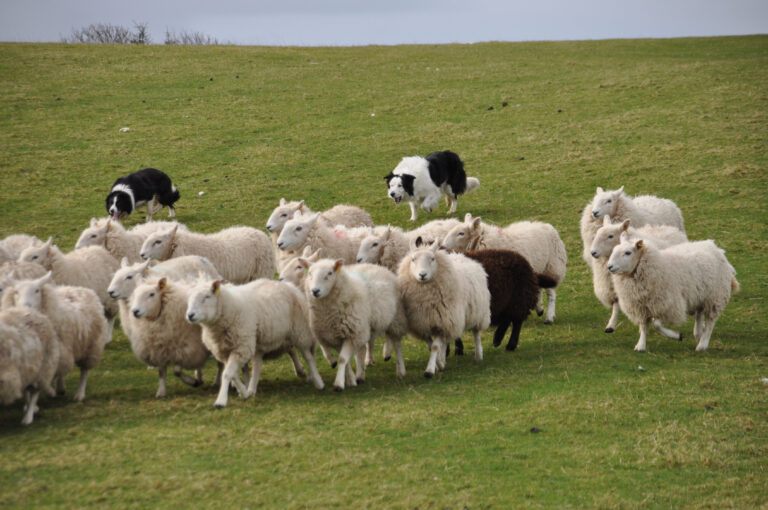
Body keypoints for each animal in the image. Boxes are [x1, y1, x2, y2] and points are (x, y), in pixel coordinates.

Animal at [2, 272, 108, 401]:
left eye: (37, 290)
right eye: (16, 292)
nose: (26, 306)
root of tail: (78, 288)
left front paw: (50, 391)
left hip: (92, 346)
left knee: (84, 371)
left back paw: (79, 394)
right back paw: (60, 388)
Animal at [185, 278, 325, 408]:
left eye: (207, 297)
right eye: (189, 298)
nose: (190, 315)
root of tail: (286, 284)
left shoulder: (241, 347)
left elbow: (227, 374)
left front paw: (221, 401)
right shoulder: (224, 350)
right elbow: (233, 374)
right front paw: (243, 392)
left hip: (300, 330)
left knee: (308, 357)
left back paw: (318, 382)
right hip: (259, 341)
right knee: (258, 365)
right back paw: (252, 390)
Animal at [300, 258, 408, 389]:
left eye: (330, 273)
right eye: (309, 273)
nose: (315, 291)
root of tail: (378, 266)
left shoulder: (352, 333)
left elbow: (342, 359)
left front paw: (339, 384)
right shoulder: (336, 336)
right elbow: (345, 360)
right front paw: (350, 379)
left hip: (395, 319)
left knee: (397, 344)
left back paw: (400, 370)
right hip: (365, 326)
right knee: (363, 348)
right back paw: (361, 375)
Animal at [397, 238, 491, 378]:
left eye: (432, 258)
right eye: (413, 259)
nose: (422, 275)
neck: (426, 300)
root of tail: (460, 255)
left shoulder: (442, 322)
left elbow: (435, 347)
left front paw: (430, 370)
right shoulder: (424, 323)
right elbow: (431, 346)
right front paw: (440, 363)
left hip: (477, 312)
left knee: (476, 333)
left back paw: (478, 354)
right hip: (450, 320)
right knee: (446, 340)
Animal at [607, 233, 739, 352]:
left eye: (628, 253)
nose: (609, 266)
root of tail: (714, 247)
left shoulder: (667, 304)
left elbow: (656, 324)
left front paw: (676, 336)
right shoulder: (640, 307)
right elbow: (644, 327)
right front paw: (641, 345)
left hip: (716, 297)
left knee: (710, 321)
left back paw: (702, 344)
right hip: (701, 296)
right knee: (699, 315)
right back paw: (698, 335)